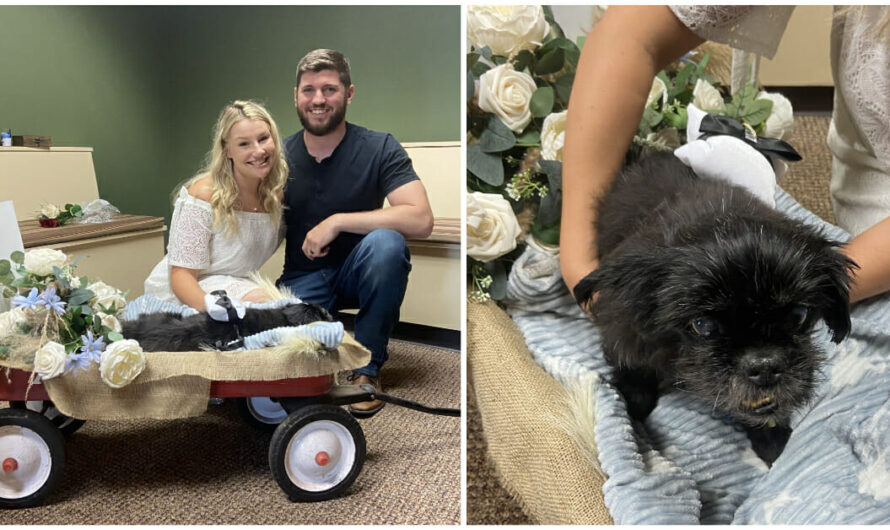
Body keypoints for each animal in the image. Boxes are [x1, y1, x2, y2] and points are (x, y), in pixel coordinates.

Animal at [568, 153, 852, 462]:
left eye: (799, 315)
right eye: (702, 325)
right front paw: (633, 407)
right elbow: (634, 370)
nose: (764, 365)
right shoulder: (624, 330)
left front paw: (771, 435)